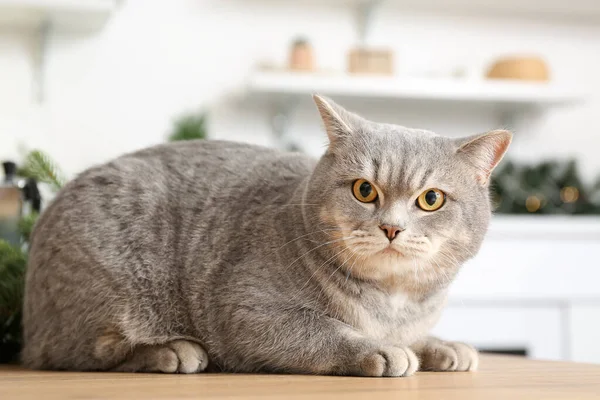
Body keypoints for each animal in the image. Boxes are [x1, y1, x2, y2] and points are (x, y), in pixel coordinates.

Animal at [22, 95, 510, 376]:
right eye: (364, 190)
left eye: (431, 199)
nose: (392, 227)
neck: (393, 300)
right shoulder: (248, 312)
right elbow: (329, 331)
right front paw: (382, 350)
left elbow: (419, 336)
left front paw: (442, 346)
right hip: (113, 296)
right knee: (80, 353)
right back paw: (172, 351)